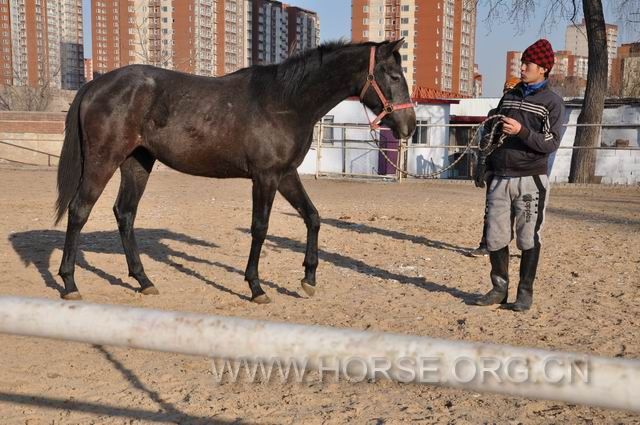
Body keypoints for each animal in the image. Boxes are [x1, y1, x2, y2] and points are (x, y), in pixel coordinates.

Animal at [53, 39, 416, 302]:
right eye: (394, 76)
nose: (409, 126)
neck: (285, 102)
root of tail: (95, 85)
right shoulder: (265, 177)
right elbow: (260, 228)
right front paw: (255, 287)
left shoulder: (286, 175)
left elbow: (312, 217)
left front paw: (308, 278)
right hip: (104, 160)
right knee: (79, 210)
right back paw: (69, 283)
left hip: (137, 162)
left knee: (125, 214)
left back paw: (144, 280)